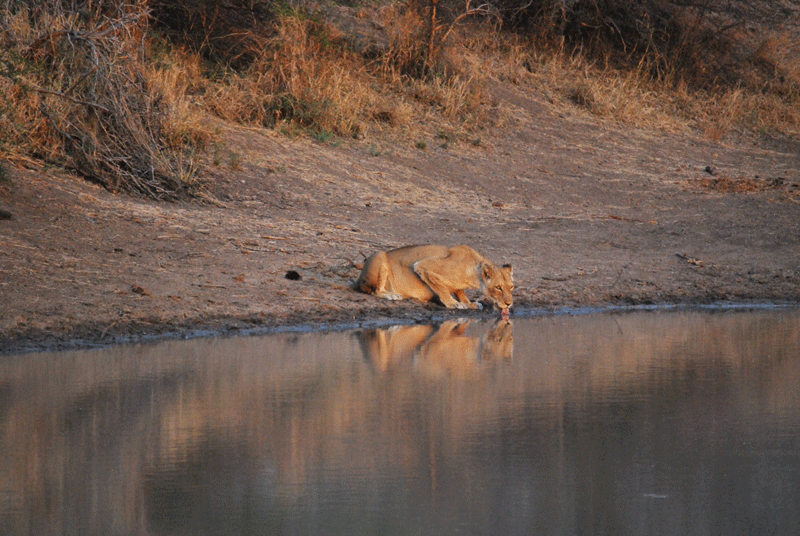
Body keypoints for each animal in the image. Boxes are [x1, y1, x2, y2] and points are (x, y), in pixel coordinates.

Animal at [354, 244, 514, 314]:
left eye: (511, 287)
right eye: (498, 288)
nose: (509, 303)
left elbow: (460, 291)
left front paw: (469, 304)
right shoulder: (423, 266)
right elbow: (442, 289)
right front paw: (453, 303)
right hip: (380, 255)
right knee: (375, 291)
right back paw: (392, 295)